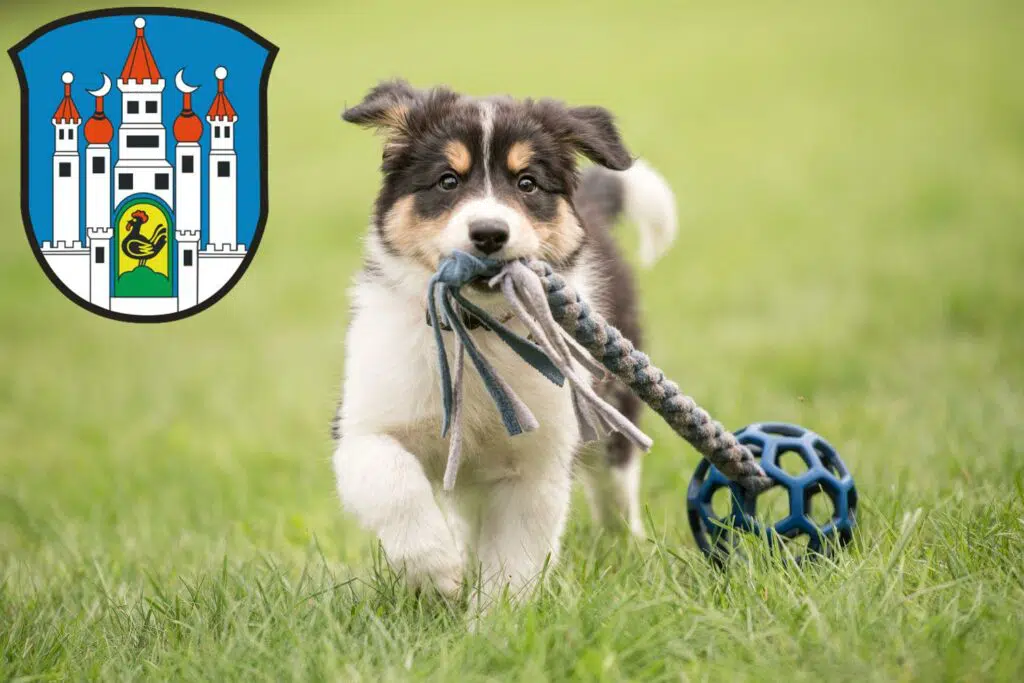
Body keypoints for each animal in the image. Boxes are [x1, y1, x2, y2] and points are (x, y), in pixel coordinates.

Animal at [331, 80, 675, 602]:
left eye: (527, 183)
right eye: (448, 181)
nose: (490, 232)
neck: (478, 329)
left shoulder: (538, 462)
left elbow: (515, 561)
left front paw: (496, 615)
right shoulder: (362, 426)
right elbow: (394, 484)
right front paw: (438, 571)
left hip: (614, 407)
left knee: (616, 484)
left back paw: (626, 545)